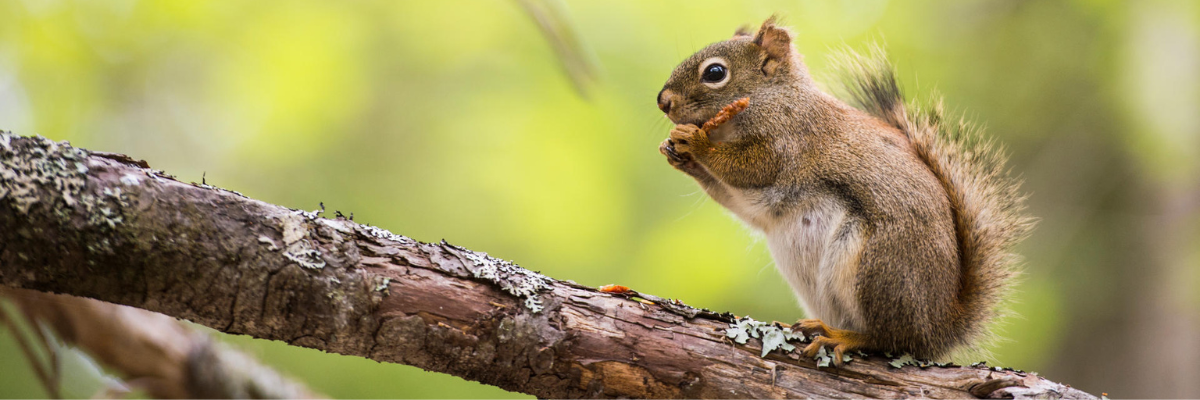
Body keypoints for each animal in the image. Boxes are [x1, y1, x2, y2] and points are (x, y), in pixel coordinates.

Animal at [657, 17, 1034, 363]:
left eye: (715, 72)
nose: (663, 101)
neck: (774, 97)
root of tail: (937, 331)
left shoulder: (789, 141)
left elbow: (749, 166)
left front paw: (697, 144)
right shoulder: (753, 200)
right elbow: (734, 198)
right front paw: (678, 154)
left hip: (878, 269)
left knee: (892, 339)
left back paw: (843, 337)